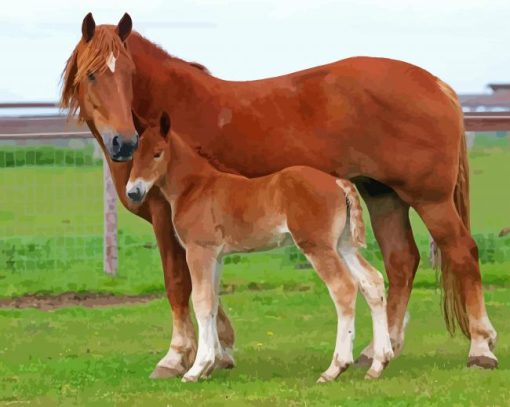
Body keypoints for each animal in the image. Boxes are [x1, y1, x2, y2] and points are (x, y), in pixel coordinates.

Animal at [125, 111, 392, 382]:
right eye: (134, 154)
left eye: (158, 153)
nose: (133, 192)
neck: (196, 187)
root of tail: (338, 182)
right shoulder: (216, 256)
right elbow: (212, 303)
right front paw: (209, 366)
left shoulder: (199, 251)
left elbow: (201, 302)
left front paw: (196, 369)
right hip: (343, 246)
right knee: (372, 282)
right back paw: (378, 364)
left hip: (318, 246)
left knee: (343, 288)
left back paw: (335, 368)